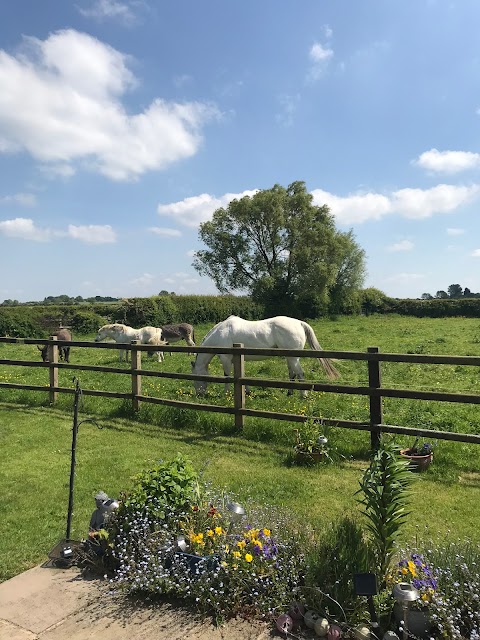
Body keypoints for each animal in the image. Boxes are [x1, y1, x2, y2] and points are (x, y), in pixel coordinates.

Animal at [189, 314, 340, 398]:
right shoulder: (236, 359)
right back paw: (290, 393)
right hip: (289, 357)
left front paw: (226, 394)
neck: (220, 333)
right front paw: (247, 392)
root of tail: (299, 323)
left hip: (293, 357)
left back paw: (303, 395)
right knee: (292, 374)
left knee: (300, 373)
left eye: (196, 378)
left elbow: (227, 377)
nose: (199, 395)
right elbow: (241, 376)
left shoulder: (225, 359)